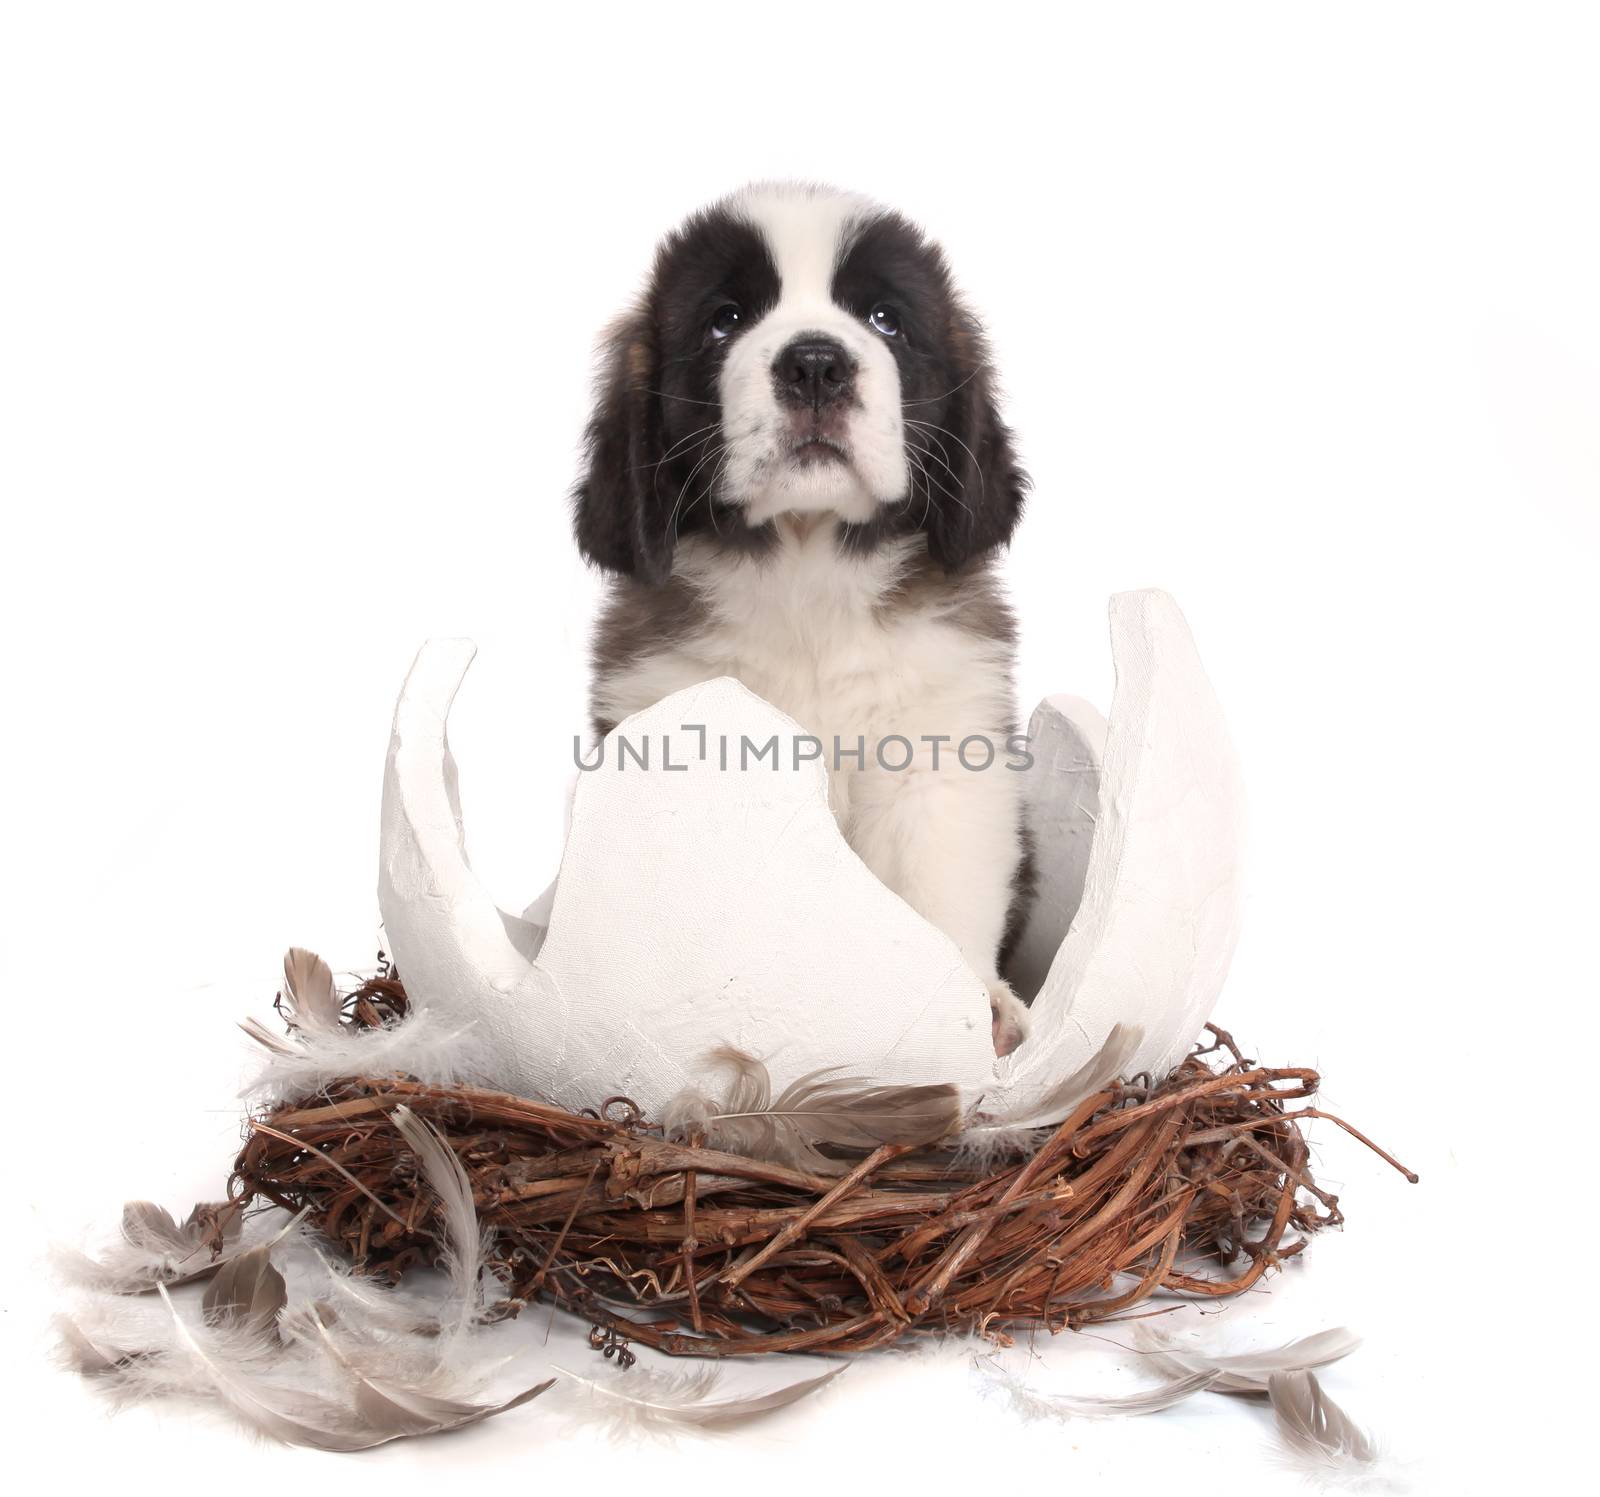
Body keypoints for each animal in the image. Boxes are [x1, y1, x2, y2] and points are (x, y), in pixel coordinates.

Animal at [576, 183, 1036, 1055]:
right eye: (724, 319)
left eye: (885, 319)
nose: (816, 362)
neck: (807, 575)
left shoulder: (940, 752)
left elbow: (939, 889)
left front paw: (968, 1008)